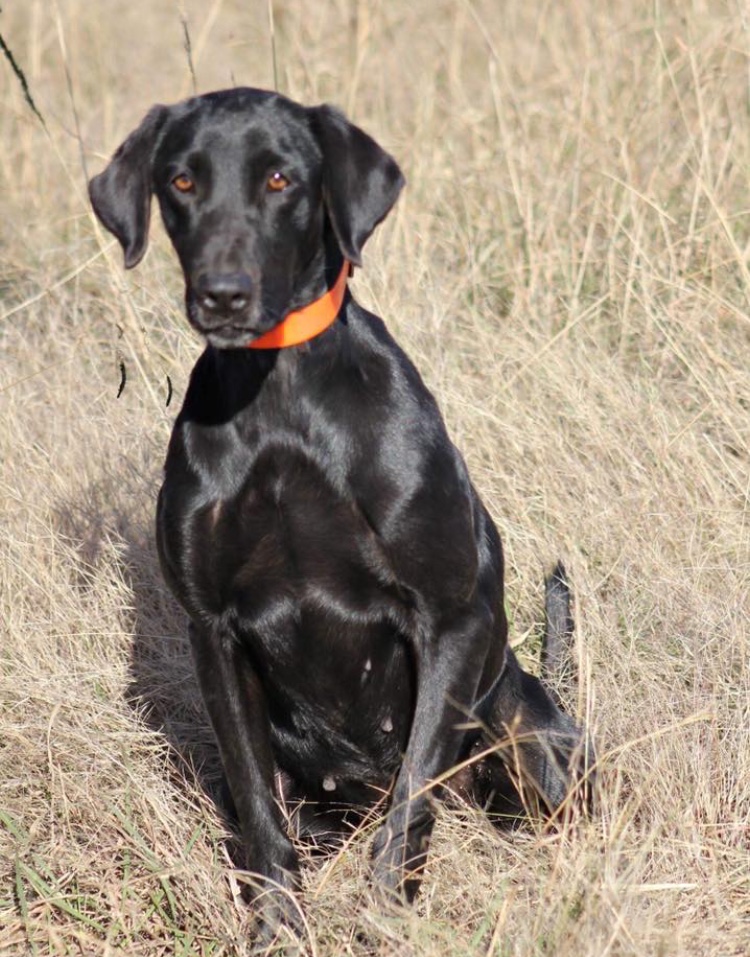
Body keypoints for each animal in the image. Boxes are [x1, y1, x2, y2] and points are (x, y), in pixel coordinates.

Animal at [89, 89, 592, 932]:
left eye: (281, 179)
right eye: (182, 181)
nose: (222, 295)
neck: (279, 404)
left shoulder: (450, 617)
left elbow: (414, 793)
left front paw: (386, 917)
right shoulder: (214, 633)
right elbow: (260, 811)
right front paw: (276, 928)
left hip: (522, 727)